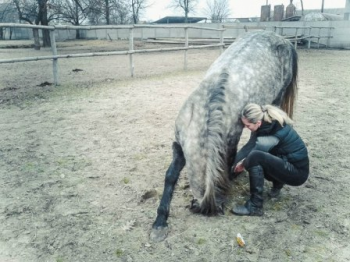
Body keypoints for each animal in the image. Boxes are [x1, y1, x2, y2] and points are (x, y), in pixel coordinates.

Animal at [150, 30, 298, 242]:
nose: (219, 206)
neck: (207, 108)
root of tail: (282, 38)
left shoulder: (230, 140)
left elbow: (229, 160)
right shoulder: (179, 144)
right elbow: (170, 176)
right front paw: (160, 222)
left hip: (275, 99)